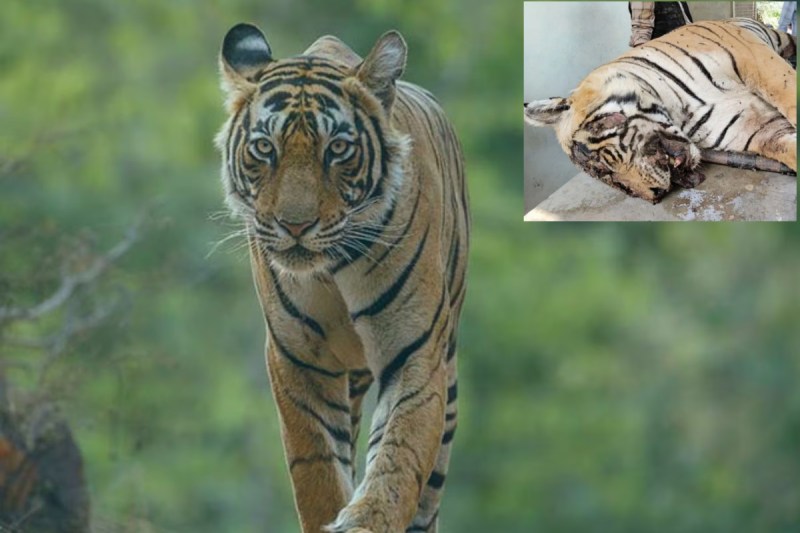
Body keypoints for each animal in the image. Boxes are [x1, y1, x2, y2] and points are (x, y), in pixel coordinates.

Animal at [215, 23, 469, 533]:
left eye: (337, 149)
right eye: (264, 148)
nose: (295, 225)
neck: (331, 271)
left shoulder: (415, 350)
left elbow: (398, 455)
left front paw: (368, 518)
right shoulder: (298, 359)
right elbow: (317, 468)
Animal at [524, 18, 797, 203]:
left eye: (602, 164)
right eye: (609, 179)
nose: (654, 196)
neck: (679, 111)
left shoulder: (755, 60)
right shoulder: (755, 127)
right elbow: (789, 148)